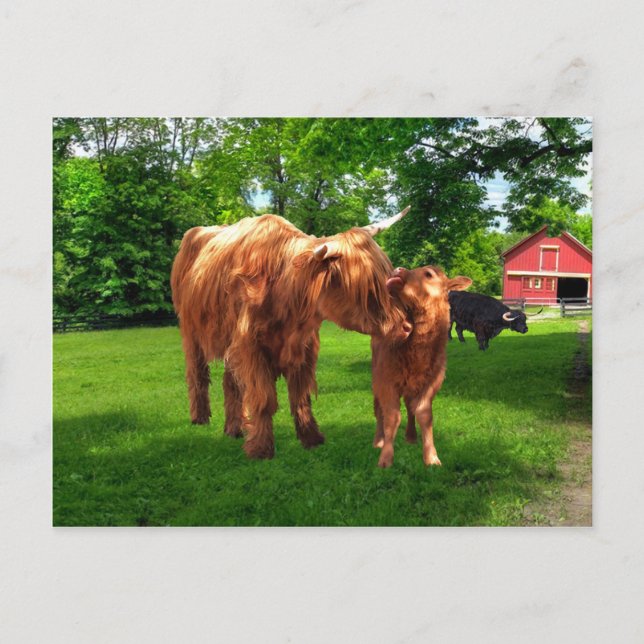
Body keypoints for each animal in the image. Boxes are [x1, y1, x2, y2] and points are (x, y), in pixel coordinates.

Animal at [170, 207, 412, 460]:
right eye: (367, 289)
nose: (405, 327)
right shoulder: (251, 346)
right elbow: (264, 399)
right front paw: (261, 449)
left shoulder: (304, 348)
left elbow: (301, 397)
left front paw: (311, 438)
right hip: (190, 331)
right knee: (197, 373)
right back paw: (200, 419)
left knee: (231, 381)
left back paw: (235, 429)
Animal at [371, 266, 472, 468]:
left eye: (428, 274)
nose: (398, 269)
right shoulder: (386, 382)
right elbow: (392, 417)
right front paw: (385, 458)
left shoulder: (432, 382)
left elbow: (424, 414)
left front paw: (431, 457)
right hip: (376, 379)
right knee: (379, 411)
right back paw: (378, 441)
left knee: (410, 407)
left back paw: (411, 437)